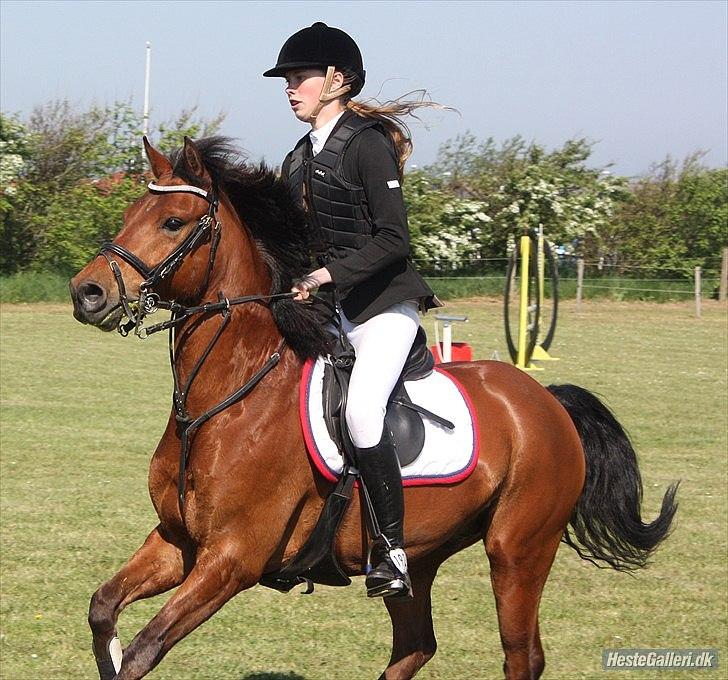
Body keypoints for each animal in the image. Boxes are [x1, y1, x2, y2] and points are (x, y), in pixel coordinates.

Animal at [69, 136, 678, 680]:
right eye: (129, 213)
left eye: (173, 222)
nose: (87, 293)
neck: (223, 401)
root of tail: (546, 399)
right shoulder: (177, 542)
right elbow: (103, 609)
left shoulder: (232, 559)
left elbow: (144, 650)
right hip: (421, 556)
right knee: (415, 646)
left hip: (518, 551)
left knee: (520, 656)